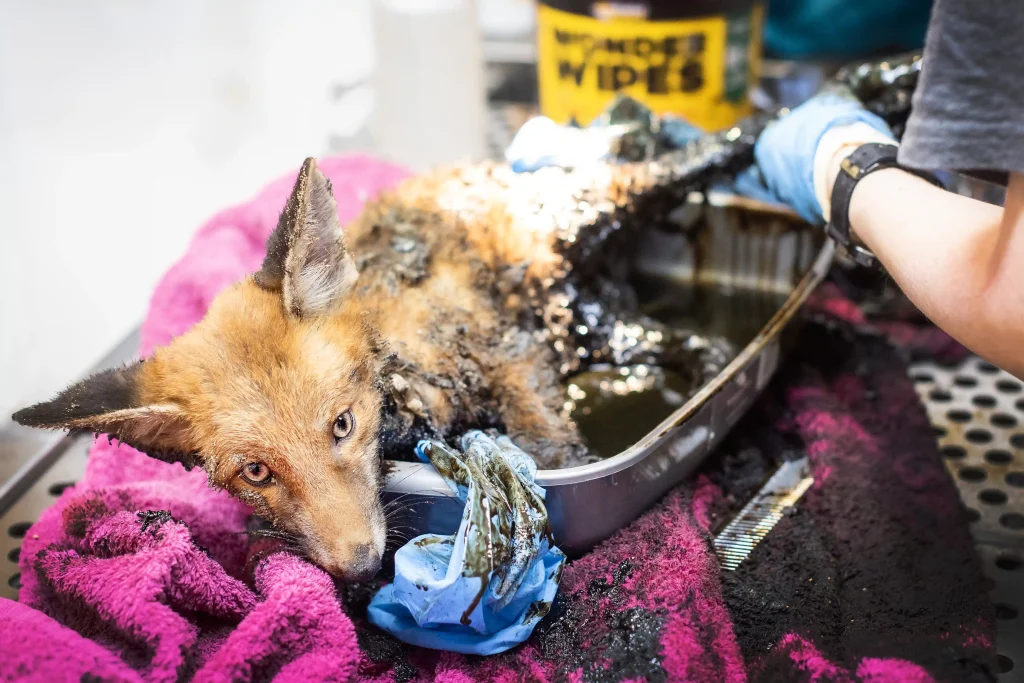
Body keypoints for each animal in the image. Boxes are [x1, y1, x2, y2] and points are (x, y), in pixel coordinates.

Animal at [13, 127, 751, 580]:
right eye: (256, 473)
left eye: (342, 425)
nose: (365, 568)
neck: (408, 396)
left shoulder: (509, 361)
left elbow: (552, 446)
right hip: (599, 326)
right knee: (688, 341)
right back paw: (713, 366)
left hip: (588, 214)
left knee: (656, 167)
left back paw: (737, 139)